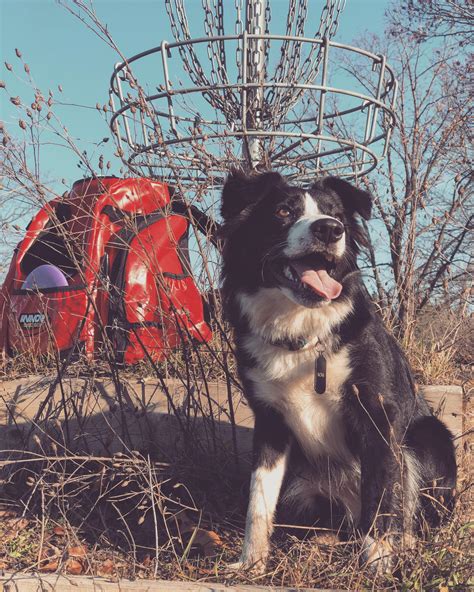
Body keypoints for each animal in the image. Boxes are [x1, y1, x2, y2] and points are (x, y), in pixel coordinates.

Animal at [220, 169, 458, 572]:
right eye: (283, 211)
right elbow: (259, 500)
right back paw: (323, 542)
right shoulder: (269, 420)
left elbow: (380, 496)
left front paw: (378, 565)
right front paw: (251, 563)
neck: (304, 330)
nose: (330, 230)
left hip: (429, 437)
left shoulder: (377, 413)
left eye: (336, 215)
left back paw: (403, 544)